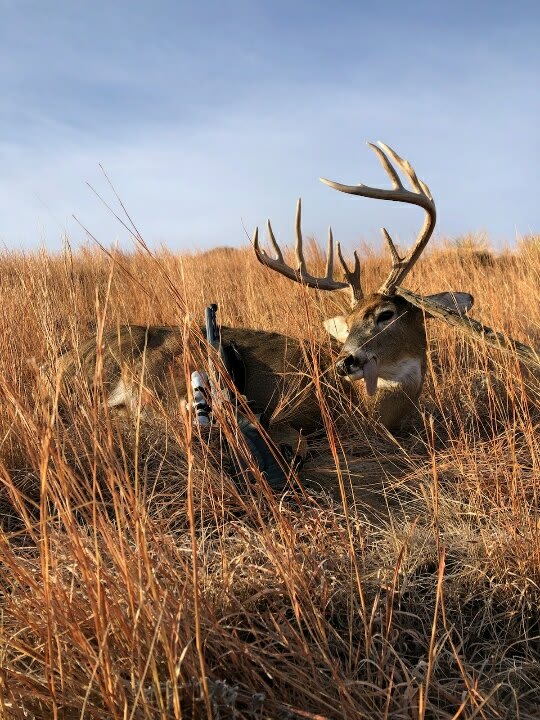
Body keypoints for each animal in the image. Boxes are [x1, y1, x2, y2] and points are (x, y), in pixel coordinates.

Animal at [53, 142, 474, 463]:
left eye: (385, 314)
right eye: (350, 320)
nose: (344, 362)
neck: (366, 409)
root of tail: (58, 361)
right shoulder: (287, 406)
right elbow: (297, 439)